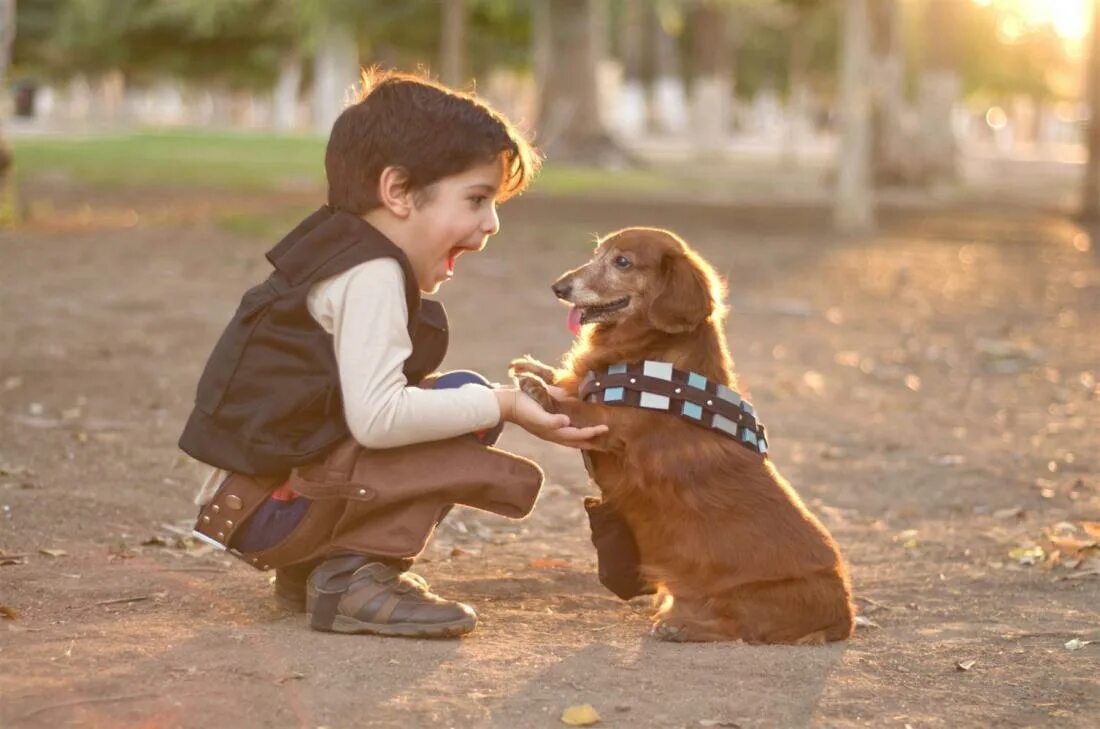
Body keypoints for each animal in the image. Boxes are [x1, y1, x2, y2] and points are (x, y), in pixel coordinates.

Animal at [510, 228, 853, 646]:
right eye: (596, 253)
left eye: (622, 262)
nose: (559, 287)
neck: (653, 356)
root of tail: (845, 616)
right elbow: (570, 383)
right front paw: (536, 368)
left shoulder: (609, 425)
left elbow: (573, 407)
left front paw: (537, 389)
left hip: (749, 597)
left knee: (734, 628)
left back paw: (681, 626)